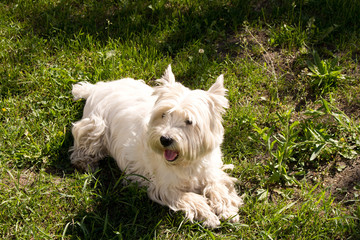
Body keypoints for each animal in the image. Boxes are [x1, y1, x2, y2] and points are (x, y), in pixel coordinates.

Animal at [70, 65, 242, 227]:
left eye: (189, 121)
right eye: (164, 114)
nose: (165, 139)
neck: (186, 163)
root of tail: (96, 88)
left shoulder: (210, 171)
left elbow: (218, 186)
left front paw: (227, 210)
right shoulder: (163, 186)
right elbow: (190, 198)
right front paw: (208, 216)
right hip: (96, 127)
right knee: (81, 147)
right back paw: (86, 163)